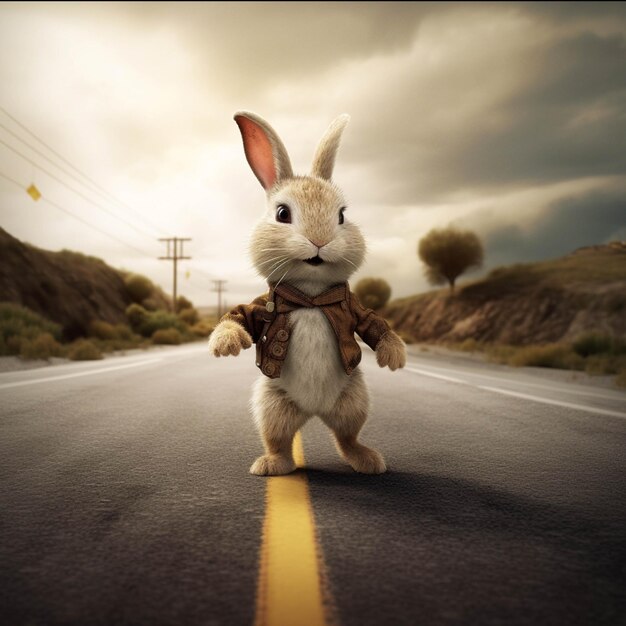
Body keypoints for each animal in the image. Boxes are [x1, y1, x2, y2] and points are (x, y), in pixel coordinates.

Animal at [207, 111, 408, 472]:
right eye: (282, 213)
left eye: (341, 215)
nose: (320, 240)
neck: (312, 296)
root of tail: (314, 411)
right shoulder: (263, 305)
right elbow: (241, 316)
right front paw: (227, 344)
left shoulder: (352, 308)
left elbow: (374, 323)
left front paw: (393, 357)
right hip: (272, 406)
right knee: (279, 440)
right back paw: (272, 465)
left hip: (353, 401)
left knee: (346, 437)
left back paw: (367, 460)